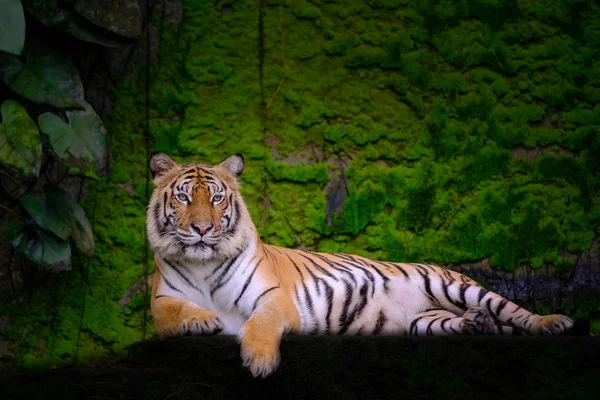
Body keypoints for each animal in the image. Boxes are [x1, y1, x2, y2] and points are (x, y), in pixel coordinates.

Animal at [148, 152, 576, 378]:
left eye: (217, 198)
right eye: (184, 198)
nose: (202, 229)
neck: (203, 263)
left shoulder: (274, 299)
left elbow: (261, 322)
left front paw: (260, 361)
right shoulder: (161, 300)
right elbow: (175, 313)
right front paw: (203, 320)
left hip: (454, 285)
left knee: (514, 312)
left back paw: (553, 323)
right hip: (425, 322)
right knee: (467, 323)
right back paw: (476, 323)